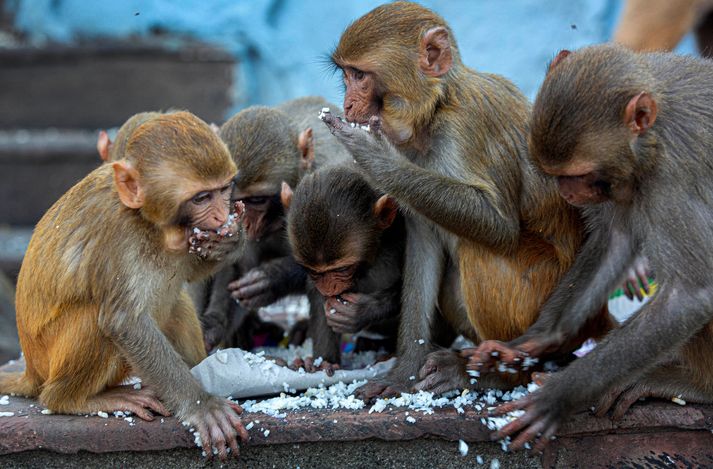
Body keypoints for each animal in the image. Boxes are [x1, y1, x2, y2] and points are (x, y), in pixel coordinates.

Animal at [0, 111, 250, 458]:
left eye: (224, 190)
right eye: (201, 198)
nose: (218, 217)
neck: (148, 222)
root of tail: (32, 371)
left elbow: (186, 274)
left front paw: (231, 239)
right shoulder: (117, 236)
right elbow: (124, 322)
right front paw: (202, 406)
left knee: (175, 304)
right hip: (50, 362)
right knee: (95, 319)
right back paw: (75, 399)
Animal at [193, 96, 352, 352]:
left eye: (257, 200)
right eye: (233, 199)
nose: (246, 225)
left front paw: (273, 278)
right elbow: (237, 267)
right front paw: (214, 324)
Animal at [318, 1, 612, 398]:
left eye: (360, 76)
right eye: (346, 75)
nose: (348, 104)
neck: (436, 109)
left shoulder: (467, 129)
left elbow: (497, 225)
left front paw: (375, 158)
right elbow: (424, 244)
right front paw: (404, 372)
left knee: (479, 251)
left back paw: (498, 375)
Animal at [486, 44, 712, 450]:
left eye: (579, 175)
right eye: (555, 175)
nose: (566, 193)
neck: (651, 136)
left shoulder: (671, 176)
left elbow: (689, 295)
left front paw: (555, 398)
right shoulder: (629, 180)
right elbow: (614, 241)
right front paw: (535, 340)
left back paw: (697, 386)